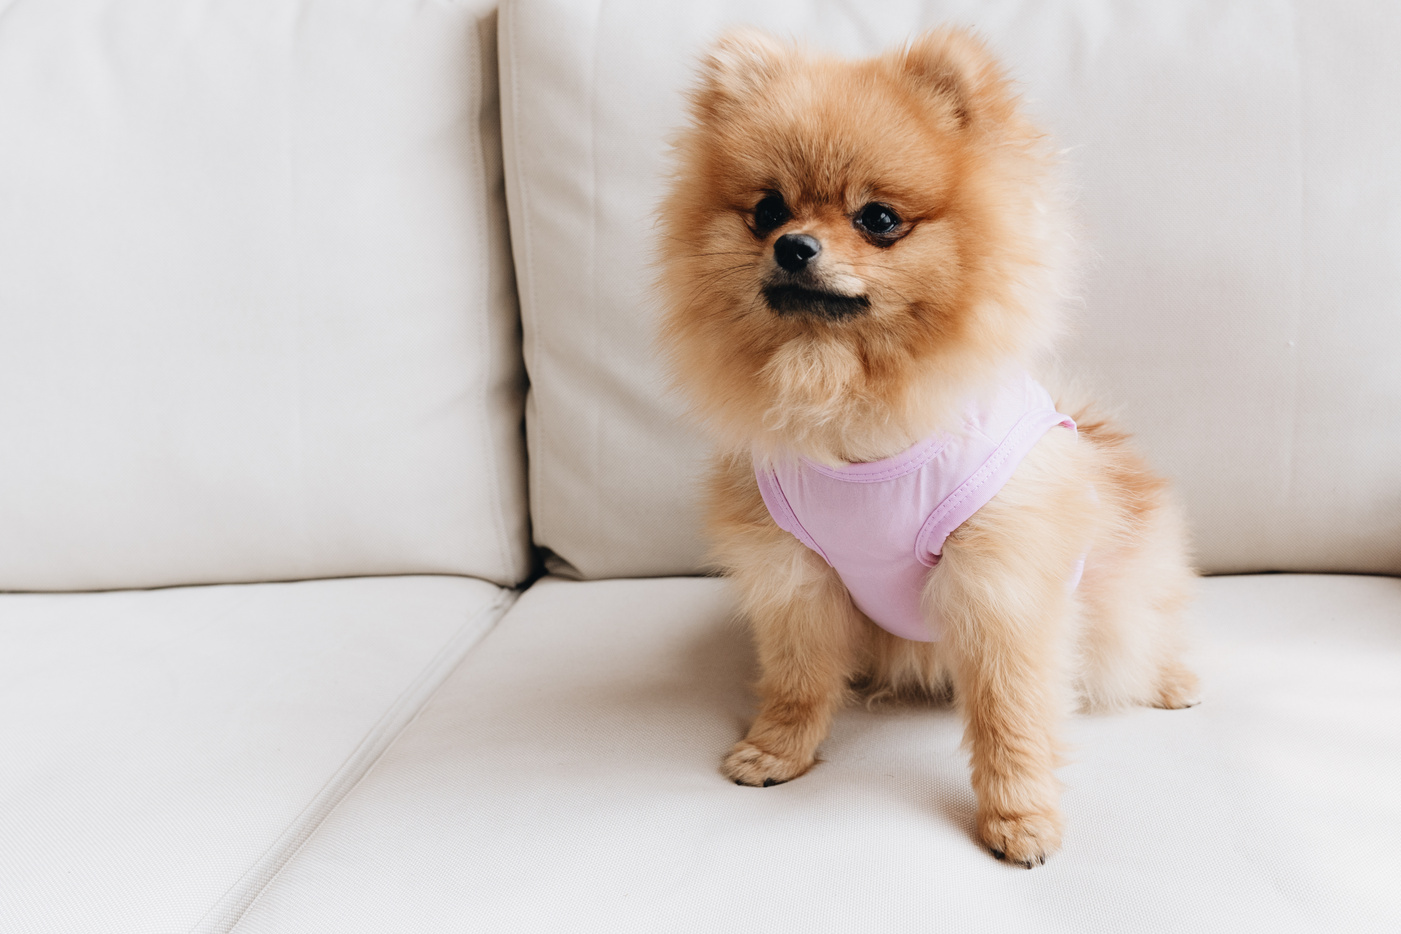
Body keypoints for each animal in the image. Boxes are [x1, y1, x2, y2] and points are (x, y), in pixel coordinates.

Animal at [652, 25, 1193, 868]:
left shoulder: (1001, 583)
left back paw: (1170, 681)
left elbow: (1009, 715)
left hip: (1114, 596)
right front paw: (777, 750)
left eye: (877, 219)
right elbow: (797, 679)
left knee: (1138, 636)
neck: (852, 417)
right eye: (766, 210)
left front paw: (1018, 817)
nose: (794, 246)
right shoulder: (794, 576)